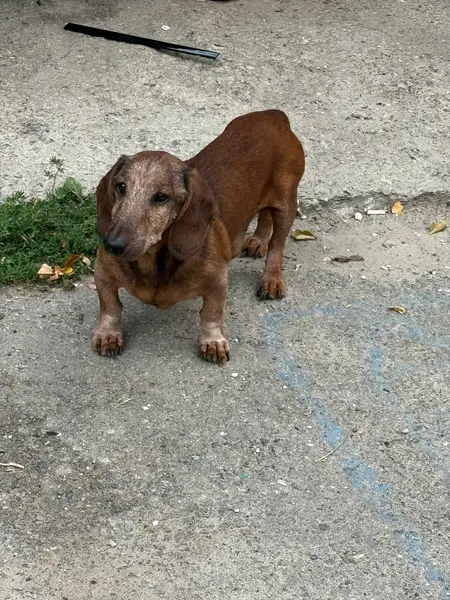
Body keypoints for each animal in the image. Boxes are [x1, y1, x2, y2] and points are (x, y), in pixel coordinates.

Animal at [92, 109, 305, 363]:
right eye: (121, 186)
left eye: (161, 197)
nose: (112, 245)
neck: (154, 261)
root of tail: (273, 115)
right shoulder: (103, 271)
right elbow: (110, 307)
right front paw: (108, 335)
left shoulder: (218, 280)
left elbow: (211, 314)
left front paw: (213, 342)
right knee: (264, 216)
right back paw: (257, 241)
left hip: (286, 203)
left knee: (277, 244)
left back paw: (271, 279)